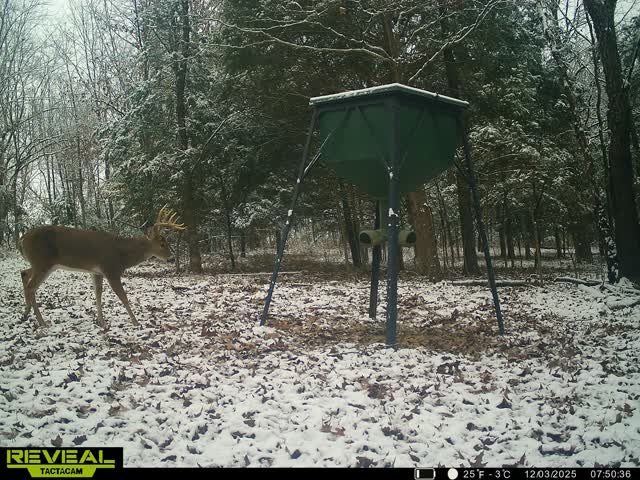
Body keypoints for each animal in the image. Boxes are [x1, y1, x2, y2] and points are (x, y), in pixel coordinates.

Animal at [18, 207, 186, 330]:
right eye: (162, 244)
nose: (171, 258)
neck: (123, 256)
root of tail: (22, 238)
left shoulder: (97, 272)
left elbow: (98, 294)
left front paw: (102, 322)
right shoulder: (111, 269)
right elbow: (123, 297)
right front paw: (135, 322)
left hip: (41, 264)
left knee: (24, 273)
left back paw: (26, 312)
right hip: (43, 262)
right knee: (32, 286)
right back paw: (42, 322)